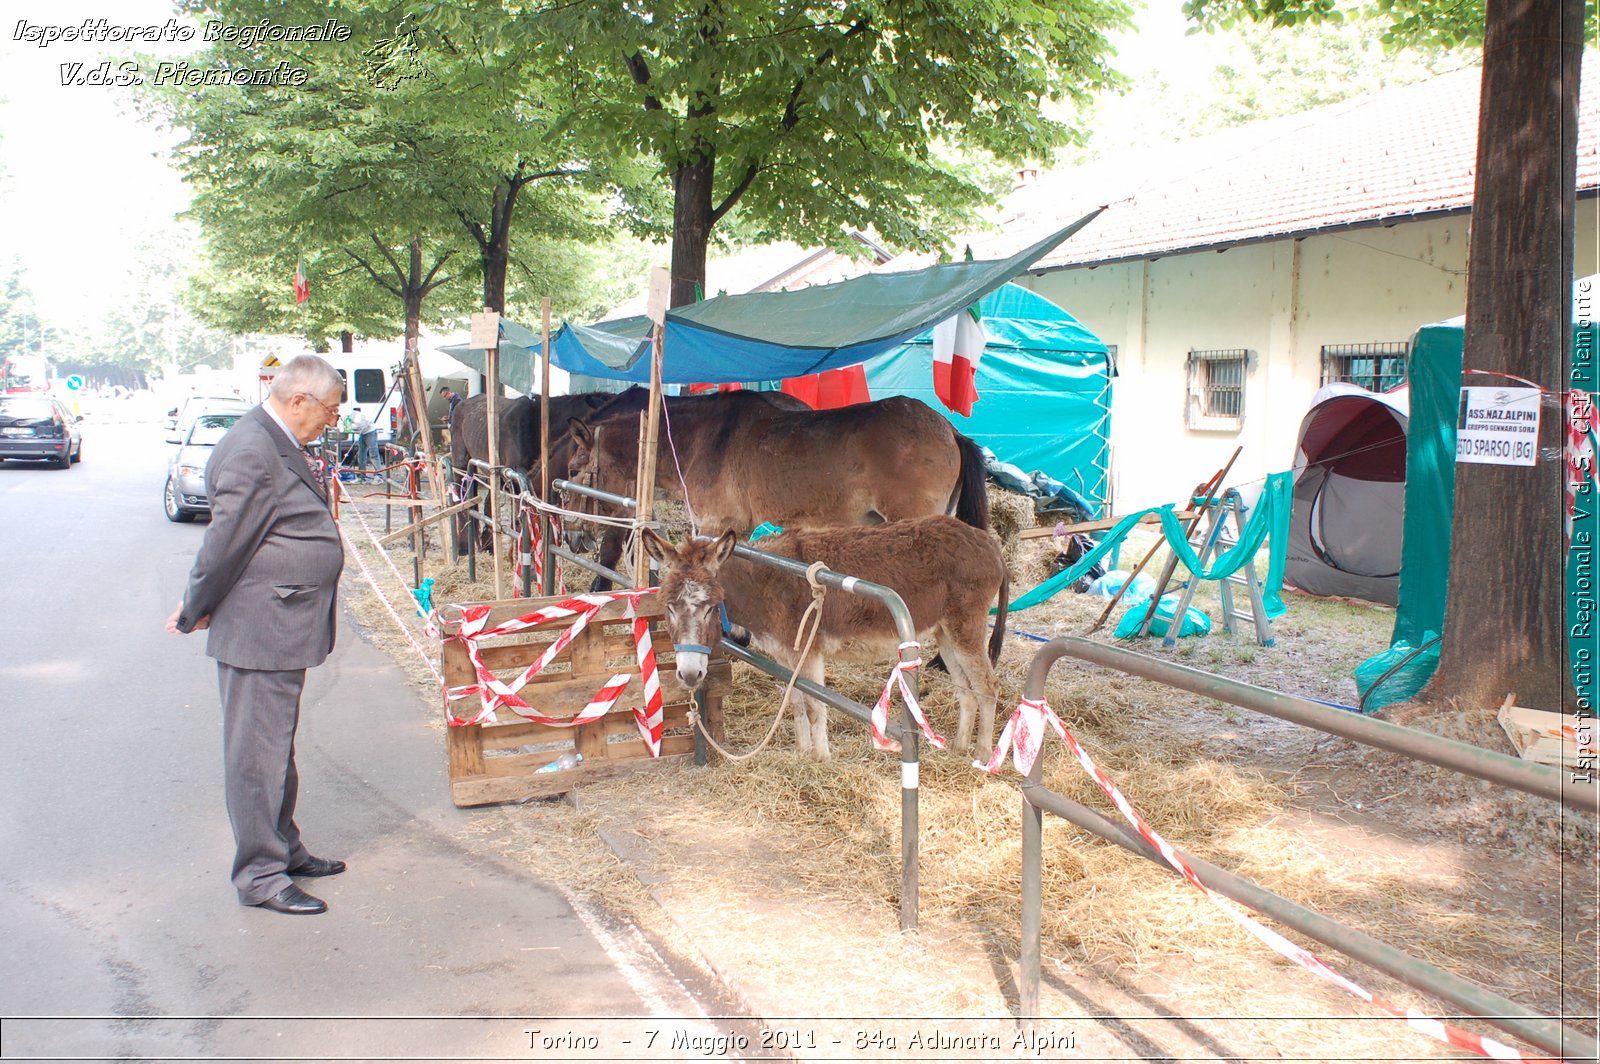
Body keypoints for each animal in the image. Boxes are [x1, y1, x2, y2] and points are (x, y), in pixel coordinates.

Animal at [640, 518, 1004, 758]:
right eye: (668, 606)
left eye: (711, 607)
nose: (690, 675)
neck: (763, 581)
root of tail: (989, 543)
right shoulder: (785, 653)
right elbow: (796, 700)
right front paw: (803, 752)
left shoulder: (809, 649)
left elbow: (816, 705)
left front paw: (822, 759)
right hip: (945, 633)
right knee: (966, 690)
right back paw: (958, 747)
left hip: (965, 627)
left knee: (987, 686)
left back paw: (982, 755)